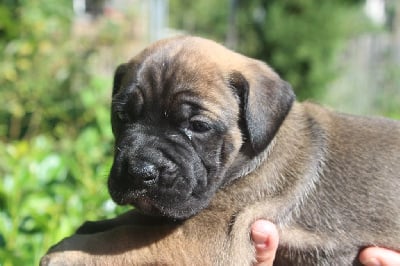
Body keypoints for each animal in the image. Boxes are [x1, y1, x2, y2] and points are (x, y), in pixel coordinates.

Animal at [41, 35, 400, 266]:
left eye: (198, 126)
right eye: (122, 117)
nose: (139, 172)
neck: (252, 155)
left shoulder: (210, 236)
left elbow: (124, 241)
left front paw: (67, 252)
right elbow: (134, 221)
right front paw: (92, 226)